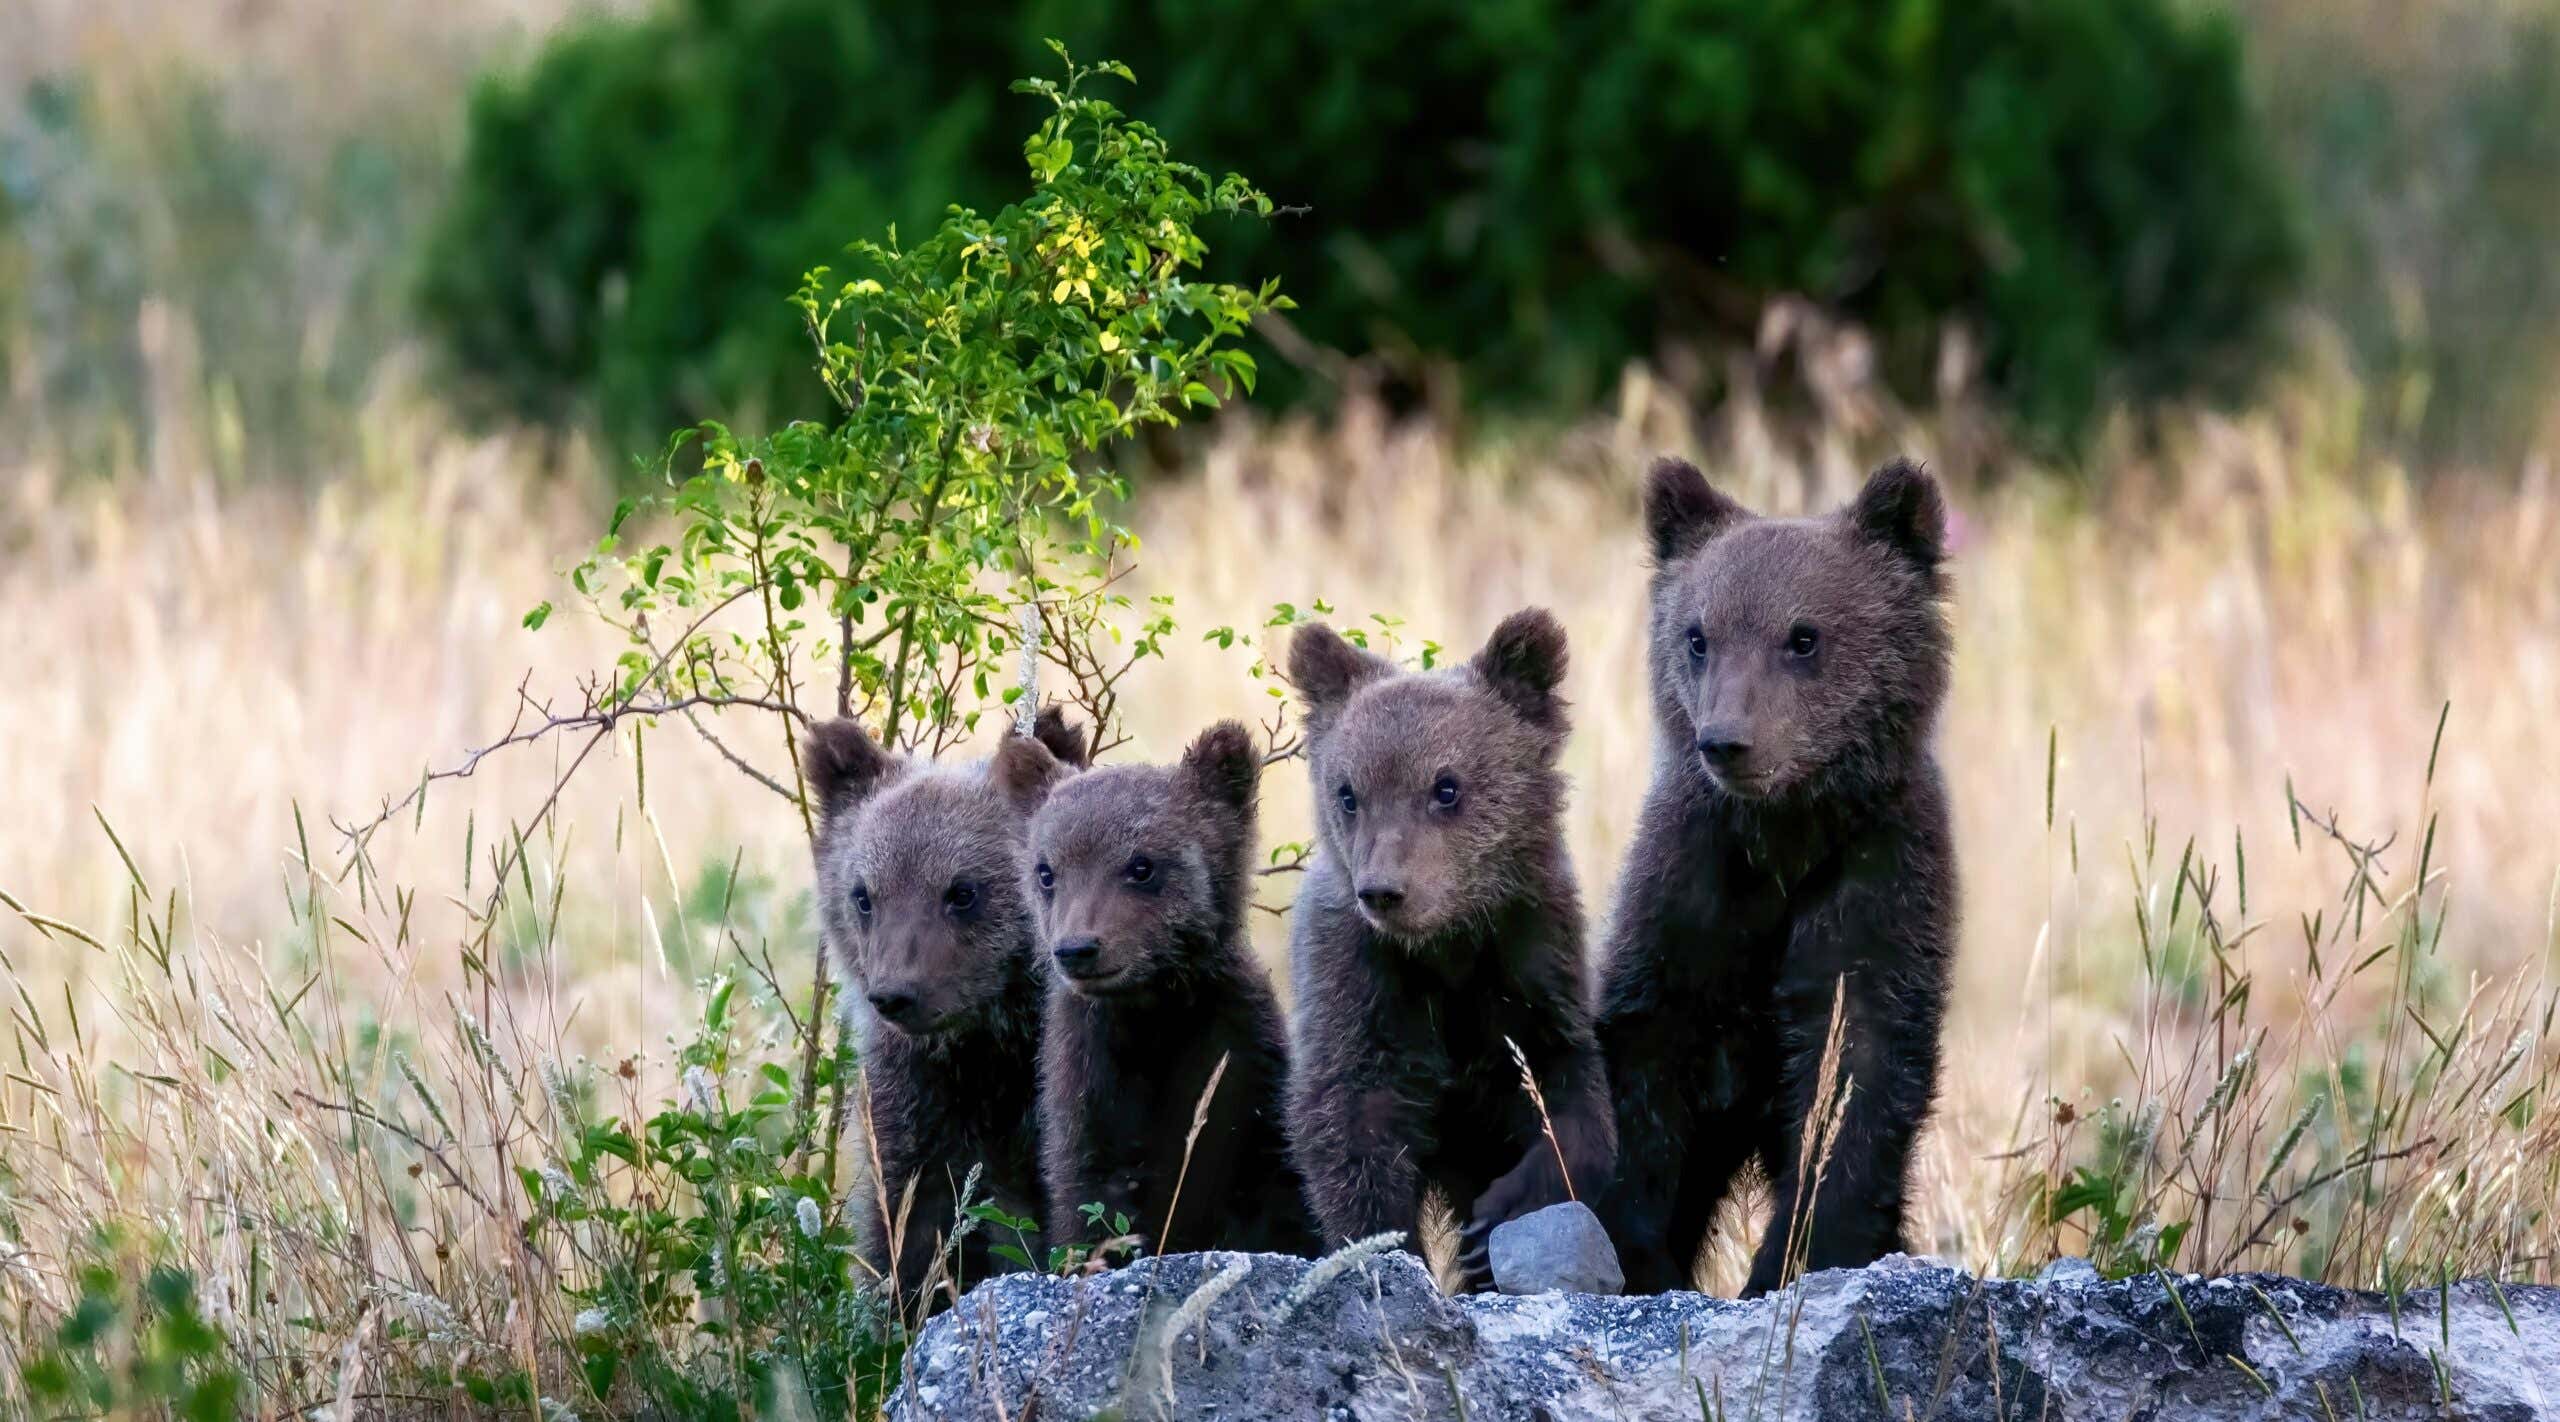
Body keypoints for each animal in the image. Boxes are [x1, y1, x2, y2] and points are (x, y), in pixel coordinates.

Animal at [1008, 719, 1321, 1259]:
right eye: (1046, 872)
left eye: (1142, 865)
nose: (1077, 948)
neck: (1154, 1013)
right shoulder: (1090, 1083)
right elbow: (1090, 1200)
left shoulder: (1239, 1062)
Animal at [1282, 608, 1617, 1289]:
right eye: (1348, 792)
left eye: (1446, 787)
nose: (1384, 891)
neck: (1447, 945)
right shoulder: (1359, 983)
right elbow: (1350, 1123)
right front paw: (1389, 1250)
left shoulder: (1533, 959)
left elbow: (1571, 1099)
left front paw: (1495, 1219)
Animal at [1594, 455, 1957, 1298]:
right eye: (1698, 636)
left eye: (1803, 636)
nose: (1727, 740)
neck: (1784, 840)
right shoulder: (1691, 892)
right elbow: (1646, 1071)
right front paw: (1640, 1255)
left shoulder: (1877, 883)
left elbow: (1851, 1080)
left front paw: (1791, 1261)